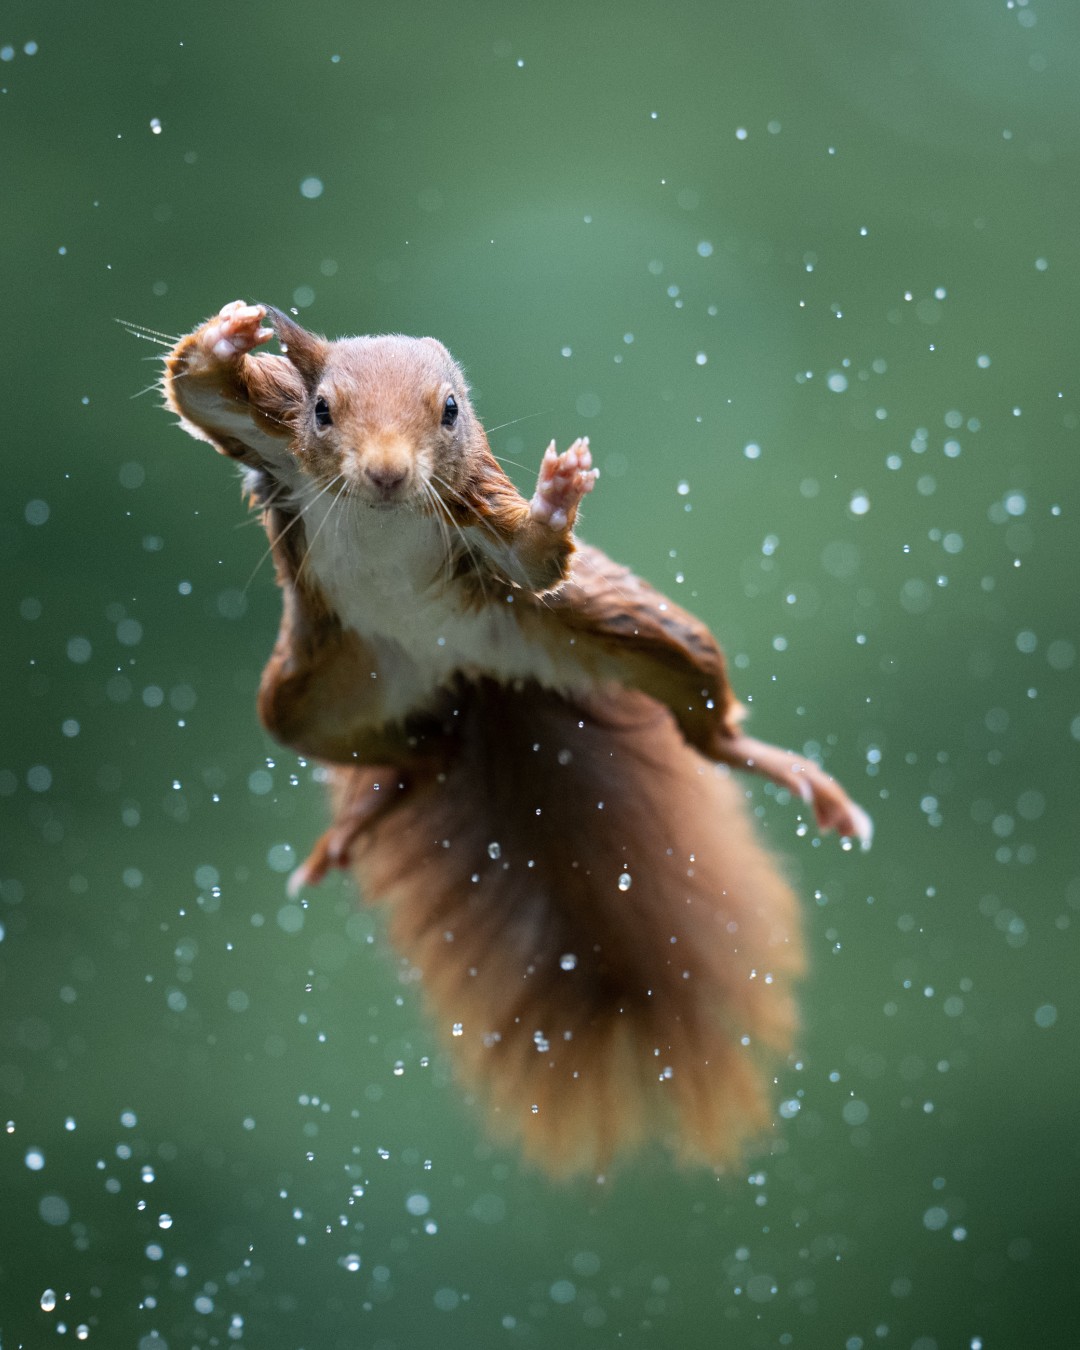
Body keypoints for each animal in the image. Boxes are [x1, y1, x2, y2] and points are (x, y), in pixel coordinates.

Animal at [161, 300, 872, 1177]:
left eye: (450, 411)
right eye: (323, 410)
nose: (387, 474)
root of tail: (471, 674)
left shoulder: (477, 514)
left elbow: (534, 558)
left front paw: (558, 495)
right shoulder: (273, 438)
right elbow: (197, 391)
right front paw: (230, 333)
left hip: (626, 630)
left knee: (704, 726)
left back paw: (800, 778)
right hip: (313, 696)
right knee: (420, 755)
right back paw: (364, 816)